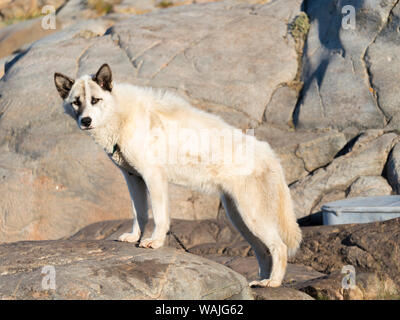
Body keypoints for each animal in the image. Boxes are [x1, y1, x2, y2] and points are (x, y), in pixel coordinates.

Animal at [54, 63, 302, 288]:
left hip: (252, 216)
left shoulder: (153, 178)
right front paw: (134, 237)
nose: (86, 121)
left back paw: (273, 283)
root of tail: (270, 154)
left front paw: (154, 242)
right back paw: (260, 282)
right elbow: (139, 214)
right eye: (76, 102)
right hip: (240, 219)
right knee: (263, 251)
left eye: (95, 100)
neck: (121, 116)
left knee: (279, 247)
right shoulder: (133, 179)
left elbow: (159, 217)